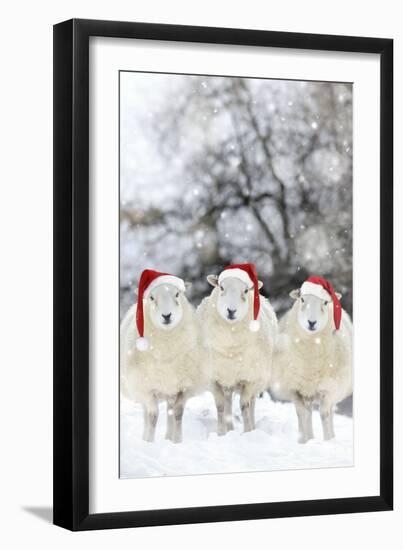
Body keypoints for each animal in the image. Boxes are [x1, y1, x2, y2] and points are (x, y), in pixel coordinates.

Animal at [119, 274, 202, 446]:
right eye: (151, 297)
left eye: (177, 294)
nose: (167, 316)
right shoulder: (146, 388)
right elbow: (152, 416)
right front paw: (149, 442)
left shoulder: (183, 387)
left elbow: (178, 413)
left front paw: (177, 442)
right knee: (147, 414)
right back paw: (146, 438)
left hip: (169, 388)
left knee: (170, 411)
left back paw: (168, 438)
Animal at [197, 266, 280, 438]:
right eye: (221, 287)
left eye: (246, 290)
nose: (231, 311)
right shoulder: (212, 377)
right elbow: (220, 405)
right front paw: (221, 433)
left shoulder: (250, 378)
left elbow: (244, 405)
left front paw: (248, 432)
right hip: (227, 377)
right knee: (228, 400)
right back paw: (230, 429)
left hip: (256, 378)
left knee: (252, 403)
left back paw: (253, 427)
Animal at [272, 280, 354, 444]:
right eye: (302, 299)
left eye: (325, 302)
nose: (311, 322)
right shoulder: (295, 388)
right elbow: (301, 413)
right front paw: (303, 441)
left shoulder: (329, 389)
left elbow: (324, 414)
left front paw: (328, 440)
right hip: (307, 390)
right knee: (308, 411)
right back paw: (309, 437)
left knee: (329, 412)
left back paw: (331, 436)